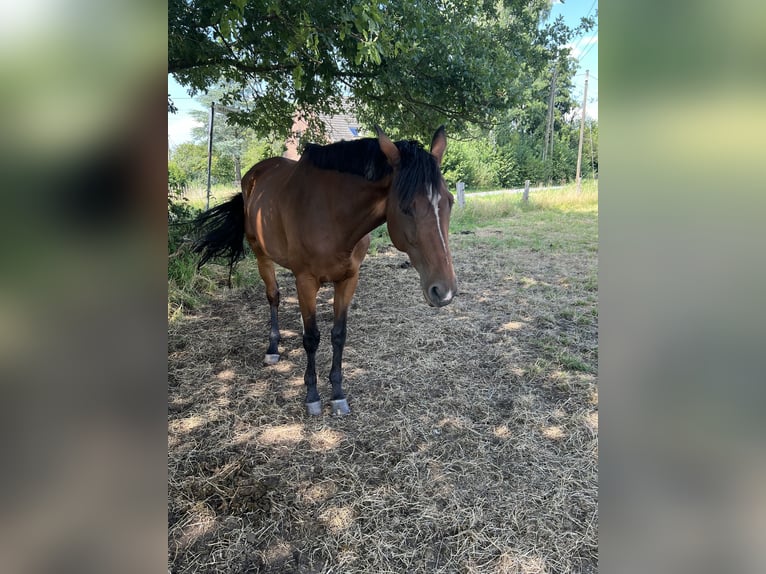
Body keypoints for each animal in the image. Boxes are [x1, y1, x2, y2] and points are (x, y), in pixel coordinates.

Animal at [195, 127, 460, 414]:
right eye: (406, 207)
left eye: (450, 201)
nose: (444, 291)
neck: (334, 214)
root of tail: (254, 174)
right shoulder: (306, 280)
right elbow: (311, 338)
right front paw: (312, 395)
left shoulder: (348, 280)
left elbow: (338, 335)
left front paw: (338, 393)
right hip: (261, 254)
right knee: (274, 296)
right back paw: (273, 347)